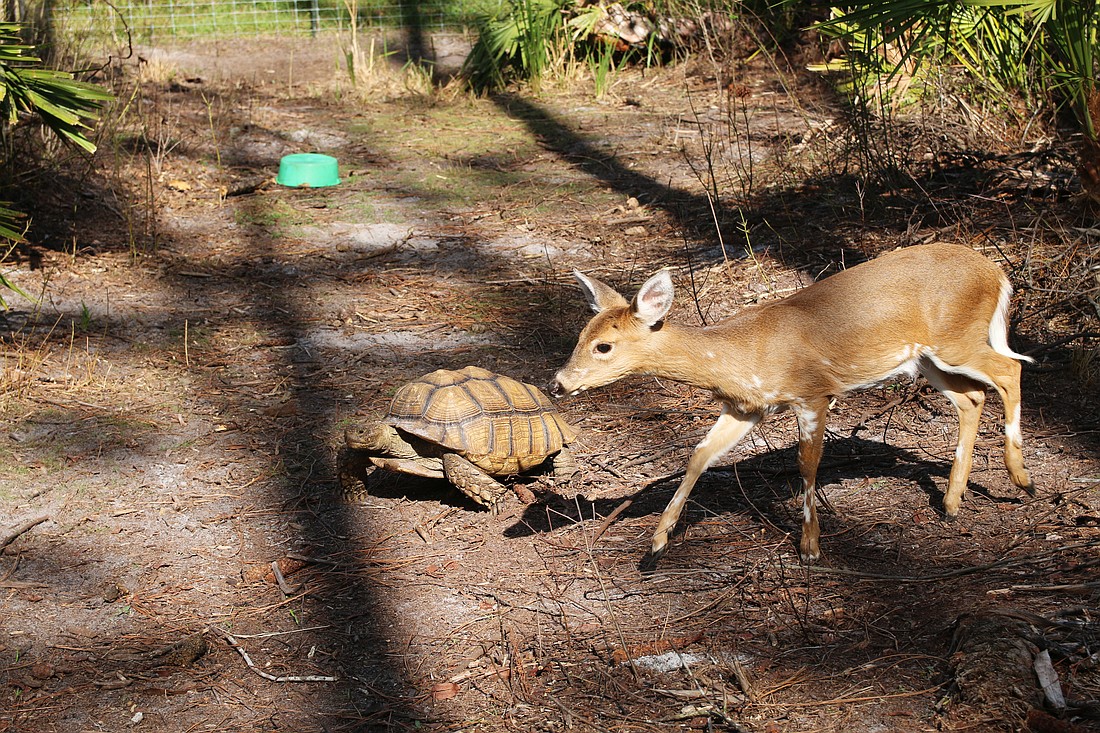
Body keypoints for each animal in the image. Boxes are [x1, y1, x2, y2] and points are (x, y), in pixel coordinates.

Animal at [551, 243, 1036, 563]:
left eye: (604, 347)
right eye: (581, 336)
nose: (558, 384)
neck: (741, 355)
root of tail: (997, 274)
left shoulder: (813, 393)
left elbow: (806, 463)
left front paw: (810, 546)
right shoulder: (745, 408)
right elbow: (698, 456)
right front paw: (657, 541)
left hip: (956, 338)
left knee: (1010, 370)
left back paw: (1021, 477)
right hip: (926, 358)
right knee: (972, 396)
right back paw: (952, 504)